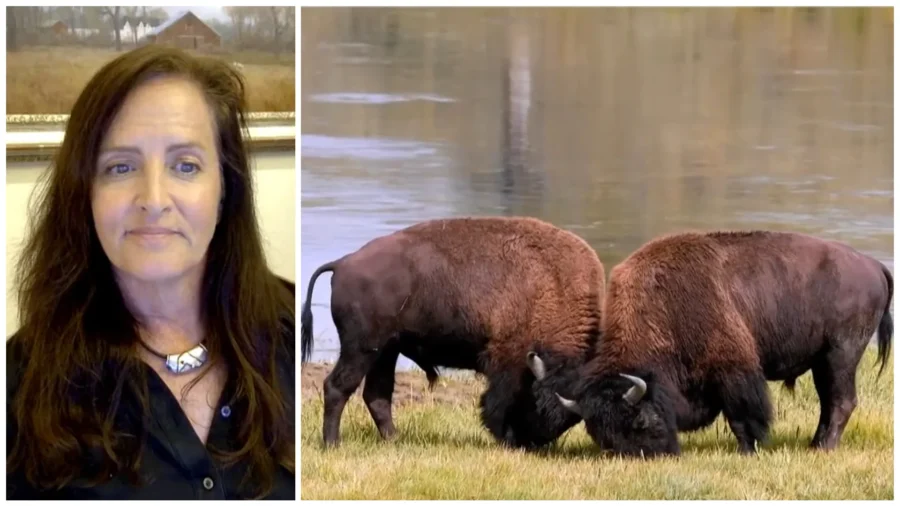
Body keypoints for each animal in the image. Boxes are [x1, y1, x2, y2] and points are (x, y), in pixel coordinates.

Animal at [301, 216, 606, 448]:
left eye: (568, 421)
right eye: (539, 403)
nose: (531, 443)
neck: (554, 286)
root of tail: (342, 263)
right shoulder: (507, 361)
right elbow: (497, 401)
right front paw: (502, 436)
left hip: (386, 350)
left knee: (377, 395)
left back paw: (394, 440)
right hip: (361, 348)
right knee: (337, 387)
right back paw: (333, 444)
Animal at [528, 230, 892, 457]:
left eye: (640, 421)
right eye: (600, 435)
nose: (653, 455)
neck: (664, 306)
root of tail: (873, 265)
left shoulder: (734, 369)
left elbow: (743, 415)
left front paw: (749, 450)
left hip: (840, 355)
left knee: (840, 402)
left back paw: (823, 448)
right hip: (823, 362)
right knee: (830, 403)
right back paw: (814, 445)